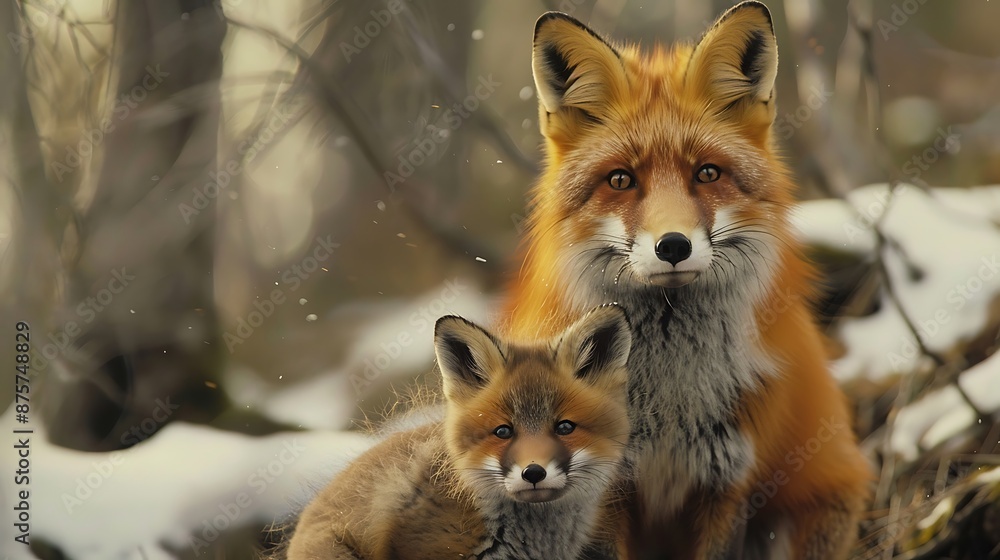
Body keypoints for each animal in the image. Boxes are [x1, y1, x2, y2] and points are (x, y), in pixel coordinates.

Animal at [498, 2, 872, 559]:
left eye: (707, 173)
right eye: (621, 180)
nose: (673, 246)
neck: (668, 402)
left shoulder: (729, 483)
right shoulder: (603, 491)